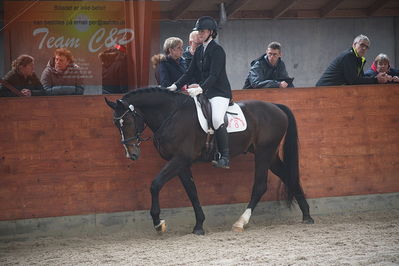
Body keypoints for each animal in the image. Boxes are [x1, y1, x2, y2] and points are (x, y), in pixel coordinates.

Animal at [106, 87, 316, 235]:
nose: (131, 154)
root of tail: (276, 106)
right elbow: (192, 191)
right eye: (116, 124)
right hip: (269, 154)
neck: (172, 115)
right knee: (289, 176)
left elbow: (155, 184)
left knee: (260, 186)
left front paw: (158, 223)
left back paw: (241, 222)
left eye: (128, 121)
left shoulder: (179, 159)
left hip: (264, 153)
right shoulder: (181, 163)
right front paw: (199, 225)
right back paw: (307, 215)